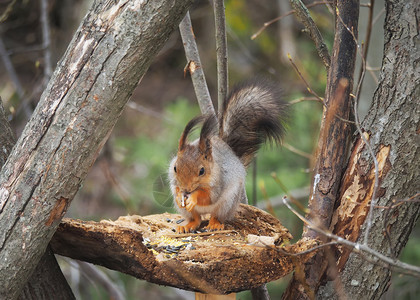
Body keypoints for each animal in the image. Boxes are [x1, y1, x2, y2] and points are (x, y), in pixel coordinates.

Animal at [169, 77, 288, 232]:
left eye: (202, 171)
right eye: (175, 168)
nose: (186, 190)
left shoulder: (219, 181)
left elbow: (208, 196)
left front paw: (194, 197)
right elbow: (176, 187)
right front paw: (179, 195)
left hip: (228, 203)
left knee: (216, 215)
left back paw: (214, 224)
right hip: (189, 211)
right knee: (196, 219)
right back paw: (188, 225)